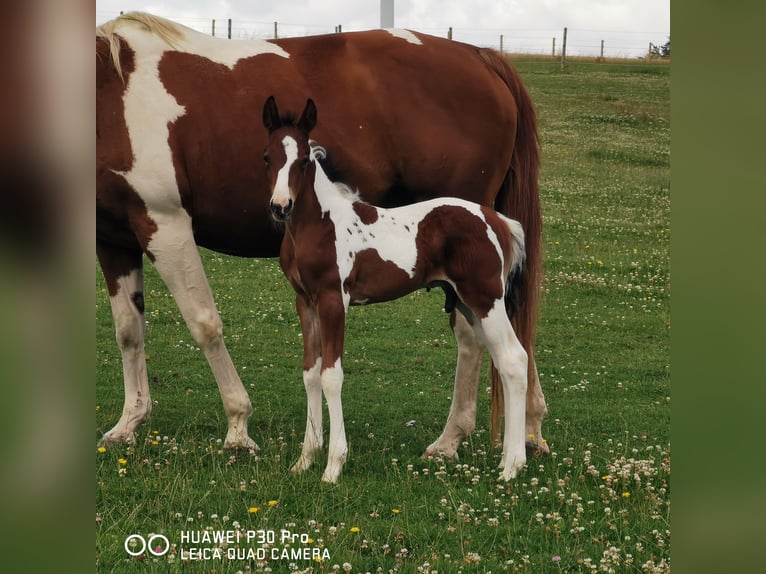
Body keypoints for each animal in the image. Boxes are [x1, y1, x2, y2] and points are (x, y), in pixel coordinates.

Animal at [96, 13, 548, 462]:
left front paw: (238, 427)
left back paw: (454, 437)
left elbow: (205, 323)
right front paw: (128, 423)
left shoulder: (165, 224)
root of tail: (480, 56)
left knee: (476, 339)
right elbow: (128, 330)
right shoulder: (115, 242)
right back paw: (526, 428)